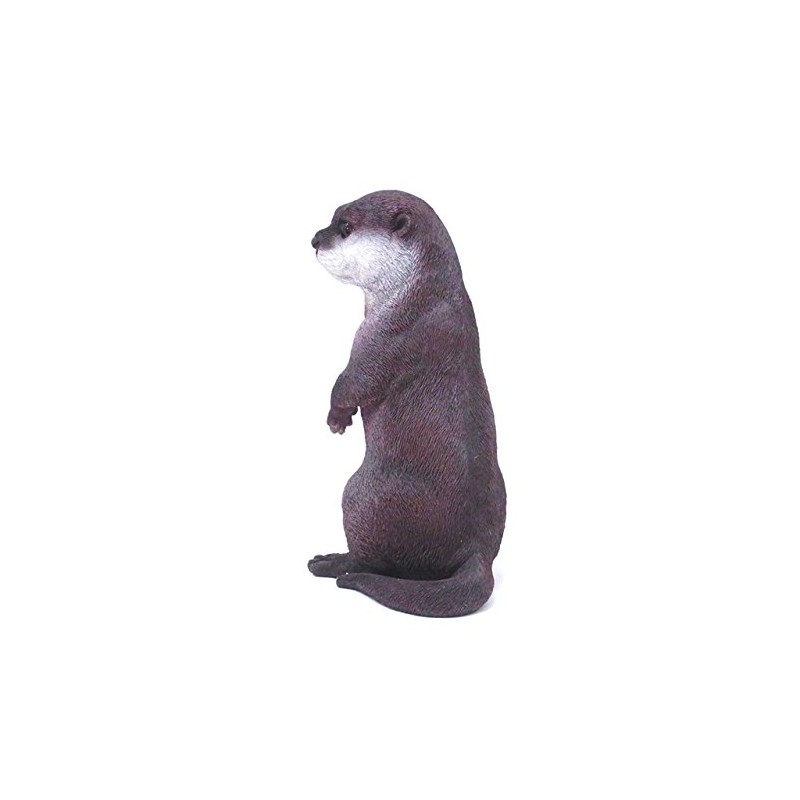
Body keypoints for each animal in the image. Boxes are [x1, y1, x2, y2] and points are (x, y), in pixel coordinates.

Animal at [308, 190, 506, 617]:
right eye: (331, 219)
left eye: (344, 227)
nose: (314, 239)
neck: (420, 296)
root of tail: (477, 552)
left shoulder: (386, 336)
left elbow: (353, 382)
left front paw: (336, 417)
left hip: (364, 496)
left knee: (376, 559)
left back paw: (333, 563)